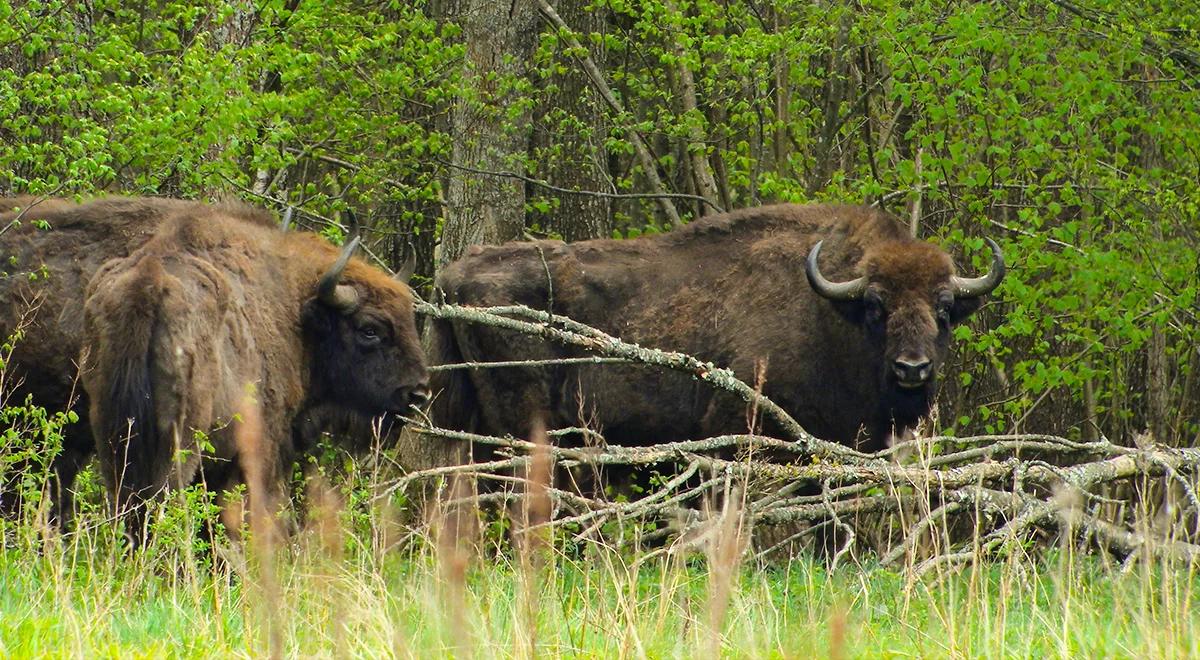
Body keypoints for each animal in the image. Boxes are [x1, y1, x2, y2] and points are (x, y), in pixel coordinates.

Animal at [79, 202, 429, 542]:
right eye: (370, 329)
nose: (418, 393)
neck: (297, 312)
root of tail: (149, 283)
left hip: (113, 441)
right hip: (181, 445)